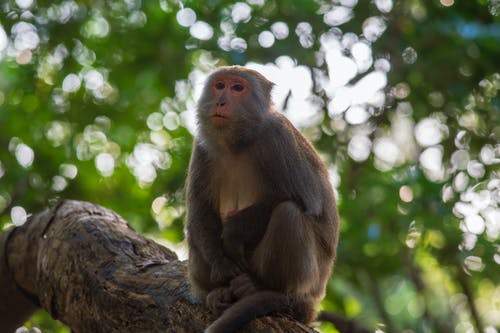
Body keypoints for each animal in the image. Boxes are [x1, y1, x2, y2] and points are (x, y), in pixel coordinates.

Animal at [185, 65, 340, 332]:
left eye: (238, 88)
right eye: (220, 85)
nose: (221, 101)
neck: (238, 142)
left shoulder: (278, 139)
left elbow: (306, 201)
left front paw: (234, 231)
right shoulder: (203, 148)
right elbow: (200, 209)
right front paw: (220, 264)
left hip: (308, 279)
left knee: (288, 213)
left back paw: (261, 287)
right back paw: (217, 292)